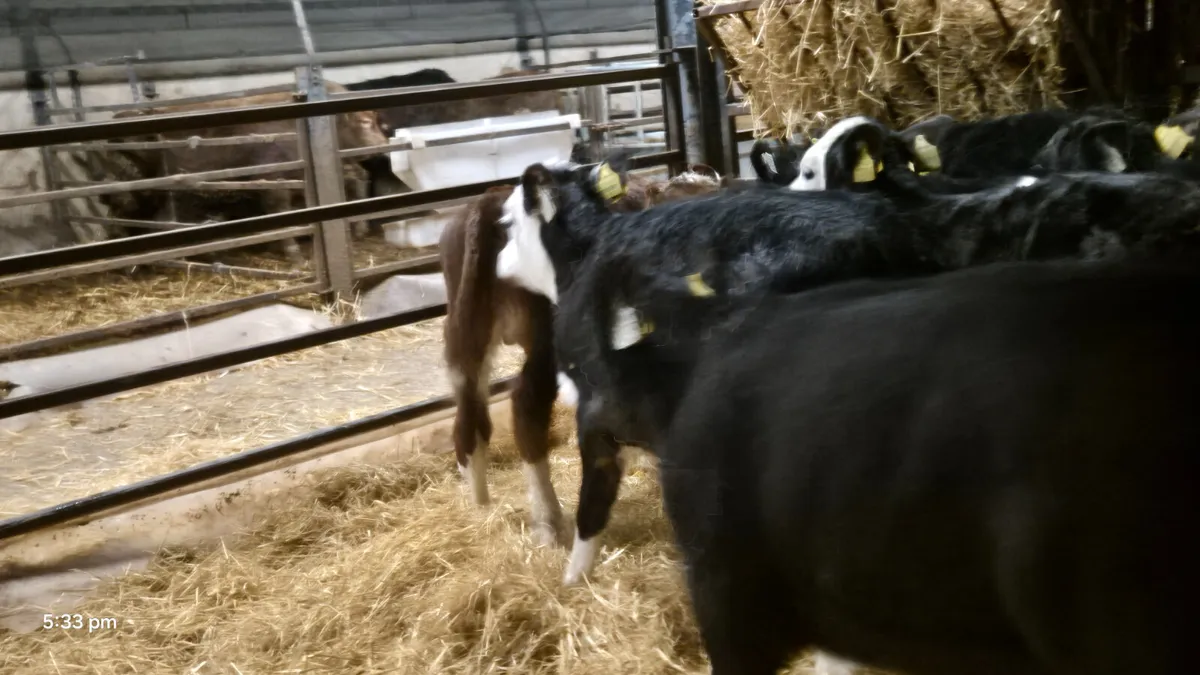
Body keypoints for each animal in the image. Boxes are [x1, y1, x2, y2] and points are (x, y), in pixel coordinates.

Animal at [93, 80, 388, 264]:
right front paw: (292, 254)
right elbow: (280, 212)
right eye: (365, 122)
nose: (383, 143)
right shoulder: (273, 181)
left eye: (375, 121)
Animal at [440, 165, 721, 547]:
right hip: (545, 339)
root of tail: (489, 204)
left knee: (469, 410)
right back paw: (548, 521)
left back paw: (480, 503)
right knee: (526, 408)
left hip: (469, 332)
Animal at [492, 148, 1200, 590]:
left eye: (507, 221)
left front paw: (571, 581)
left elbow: (592, 510)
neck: (585, 256)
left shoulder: (600, 418)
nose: (497, 262)